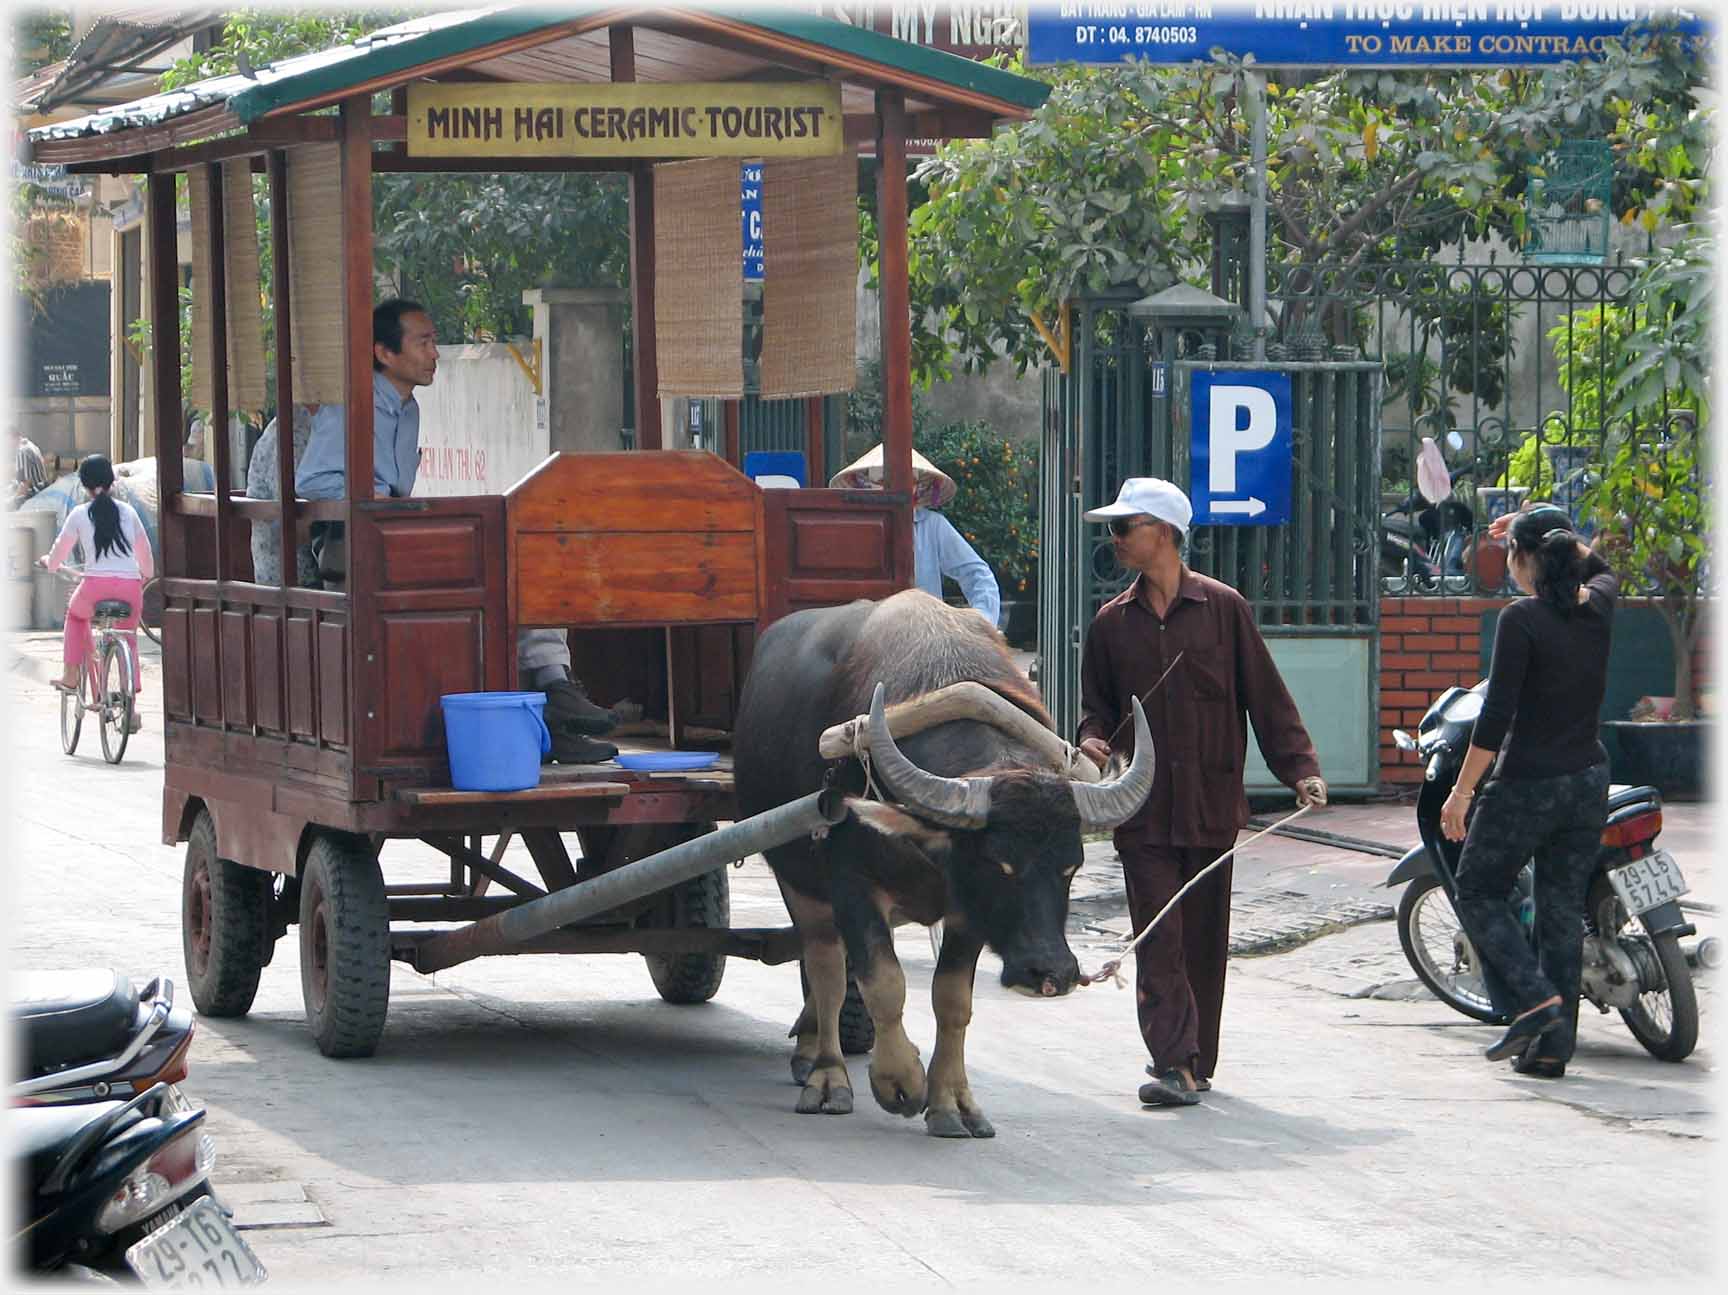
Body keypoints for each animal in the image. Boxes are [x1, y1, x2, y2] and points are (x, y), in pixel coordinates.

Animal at [736, 591, 1154, 1134]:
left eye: (1072, 868)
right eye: (999, 865)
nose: (1052, 972)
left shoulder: (967, 912)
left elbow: (953, 1000)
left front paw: (952, 1102)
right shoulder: (851, 884)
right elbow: (883, 982)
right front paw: (900, 1081)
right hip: (797, 880)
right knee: (826, 968)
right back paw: (827, 1075)